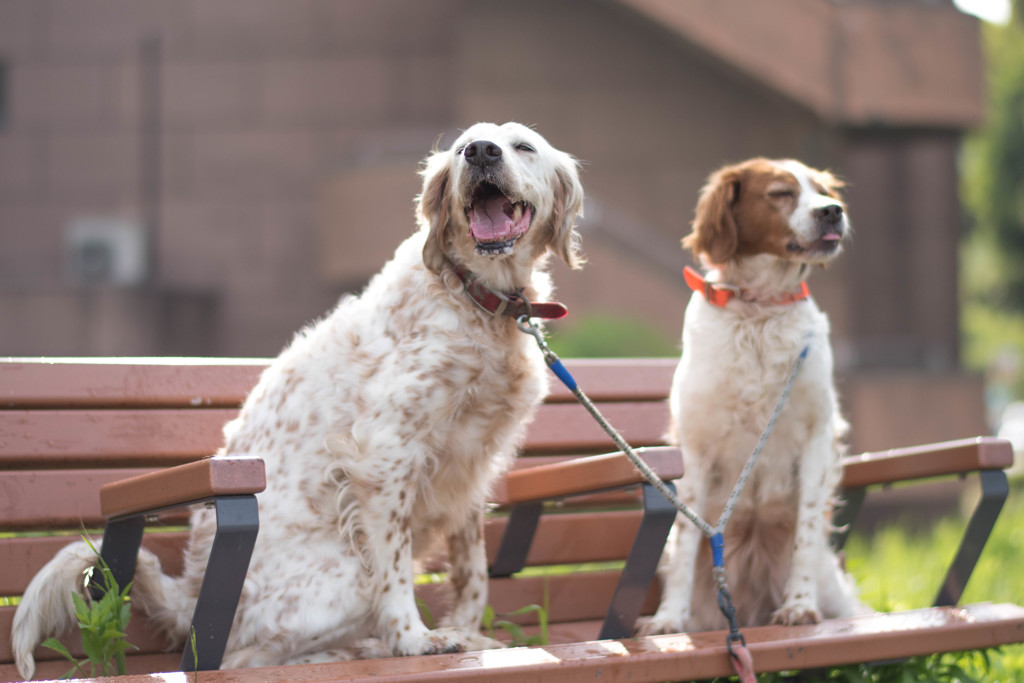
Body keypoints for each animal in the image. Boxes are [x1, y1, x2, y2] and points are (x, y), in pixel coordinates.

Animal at [14, 124, 585, 679]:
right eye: (465, 146)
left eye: (523, 147)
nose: (482, 153)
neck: (475, 299)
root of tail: (189, 598)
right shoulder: (386, 457)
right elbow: (396, 572)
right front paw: (413, 640)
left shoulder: (471, 466)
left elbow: (474, 576)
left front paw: (470, 634)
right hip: (347, 574)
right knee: (245, 659)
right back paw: (360, 650)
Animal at [638, 158, 872, 634]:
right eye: (780, 193)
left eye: (823, 191)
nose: (833, 211)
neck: (760, 309)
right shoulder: (695, 448)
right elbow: (686, 541)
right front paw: (668, 618)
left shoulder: (817, 437)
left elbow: (806, 530)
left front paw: (799, 606)